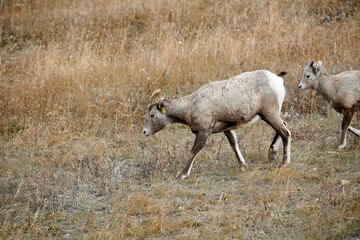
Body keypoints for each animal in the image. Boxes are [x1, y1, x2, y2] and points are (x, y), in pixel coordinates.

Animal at [142, 70, 292, 179]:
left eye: (152, 115)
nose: (145, 132)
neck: (190, 106)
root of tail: (277, 79)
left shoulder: (203, 132)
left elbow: (194, 151)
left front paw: (182, 175)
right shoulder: (227, 129)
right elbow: (234, 144)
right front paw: (242, 166)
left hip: (269, 113)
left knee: (286, 133)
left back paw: (284, 164)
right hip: (269, 115)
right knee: (283, 126)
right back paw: (272, 153)